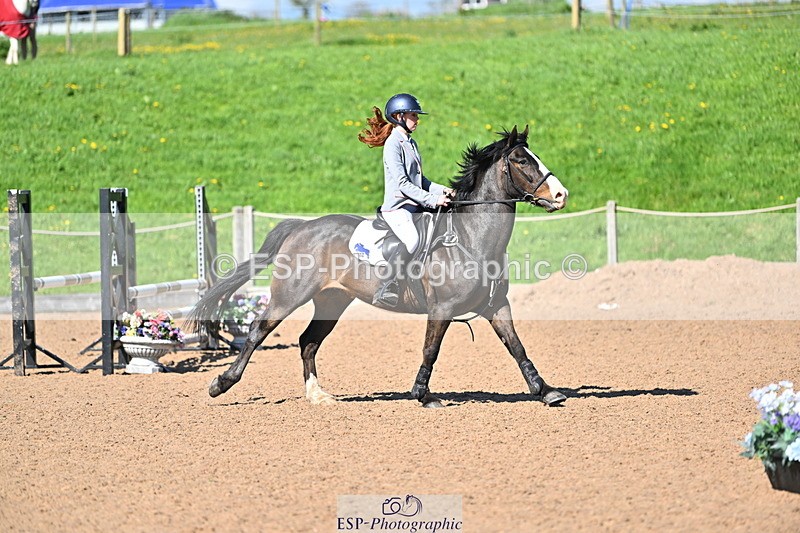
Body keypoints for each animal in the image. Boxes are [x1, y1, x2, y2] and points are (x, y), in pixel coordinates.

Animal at [188, 126, 570, 408]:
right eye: (521, 160)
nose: (561, 195)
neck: (472, 238)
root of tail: (300, 227)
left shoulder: (496, 305)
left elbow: (517, 347)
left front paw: (546, 391)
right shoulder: (442, 308)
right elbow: (431, 349)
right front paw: (423, 395)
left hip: (332, 300)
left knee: (308, 341)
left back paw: (318, 395)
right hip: (289, 296)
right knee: (258, 331)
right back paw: (221, 384)